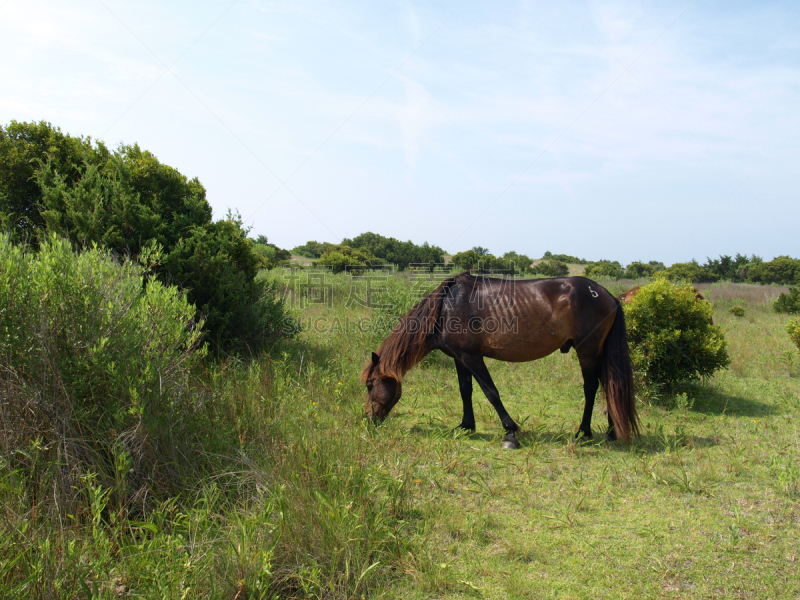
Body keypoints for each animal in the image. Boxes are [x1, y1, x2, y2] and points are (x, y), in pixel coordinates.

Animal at [362, 274, 636, 448]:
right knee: (609, 386)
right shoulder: (460, 358)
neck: (445, 308)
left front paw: (510, 432)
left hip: (587, 351)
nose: (368, 420)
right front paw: (465, 425)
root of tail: (609, 295)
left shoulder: (472, 357)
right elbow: (465, 390)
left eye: (370, 384)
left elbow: (490, 392)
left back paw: (583, 432)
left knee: (592, 387)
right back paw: (611, 432)